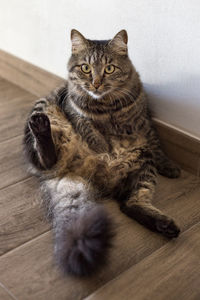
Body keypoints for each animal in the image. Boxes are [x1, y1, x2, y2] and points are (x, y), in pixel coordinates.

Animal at [23, 28, 181, 276]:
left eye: (109, 69)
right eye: (85, 68)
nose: (96, 84)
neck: (106, 107)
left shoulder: (145, 123)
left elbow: (157, 145)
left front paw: (169, 166)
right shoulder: (72, 109)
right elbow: (87, 128)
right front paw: (101, 146)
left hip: (144, 164)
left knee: (131, 204)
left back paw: (165, 225)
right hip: (42, 111)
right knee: (46, 158)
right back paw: (42, 128)